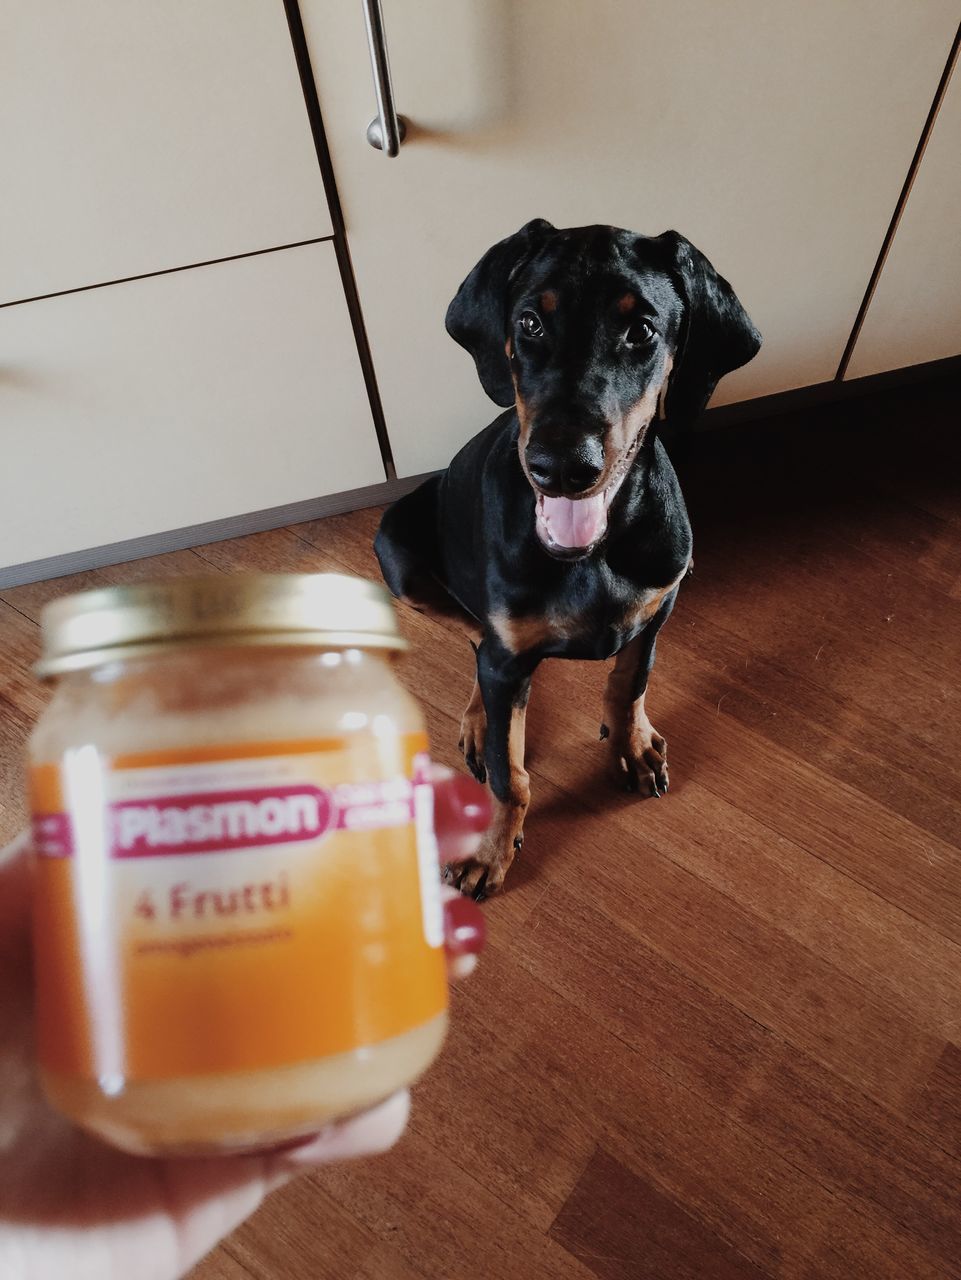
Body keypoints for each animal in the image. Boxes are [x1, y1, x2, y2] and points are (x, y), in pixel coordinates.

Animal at [376, 220, 757, 896]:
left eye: (642, 330)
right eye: (529, 322)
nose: (560, 468)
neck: (591, 556)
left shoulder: (659, 606)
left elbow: (629, 682)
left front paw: (631, 747)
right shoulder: (505, 651)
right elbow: (511, 775)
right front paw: (491, 849)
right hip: (397, 551)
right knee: (478, 642)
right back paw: (482, 718)